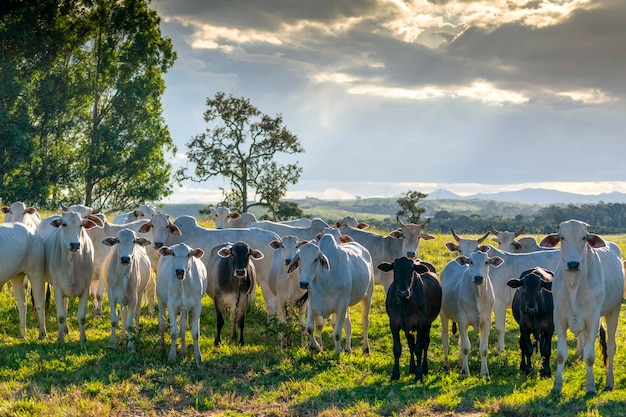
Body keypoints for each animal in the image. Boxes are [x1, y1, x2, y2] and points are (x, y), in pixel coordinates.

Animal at [41, 211, 101, 342]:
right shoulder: (58, 289)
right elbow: (61, 315)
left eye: (81, 225)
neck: (72, 261)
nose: (75, 244)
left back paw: (66, 329)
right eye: (64, 224)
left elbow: (81, 316)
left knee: (65, 305)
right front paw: (59, 339)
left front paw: (83, 339)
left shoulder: (85, 289)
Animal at [438, 249, 502, 378]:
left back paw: (460, 362)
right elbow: (466, 347)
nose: (478, 277)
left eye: (486, 262)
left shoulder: (486, 321)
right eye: (471, 261)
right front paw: (465, 372)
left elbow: (483, 349)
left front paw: (485, 373)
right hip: (443, 314)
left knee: (460, 341)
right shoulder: (463, 319)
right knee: (445, 338)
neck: (478, 295)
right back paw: (446, 364)